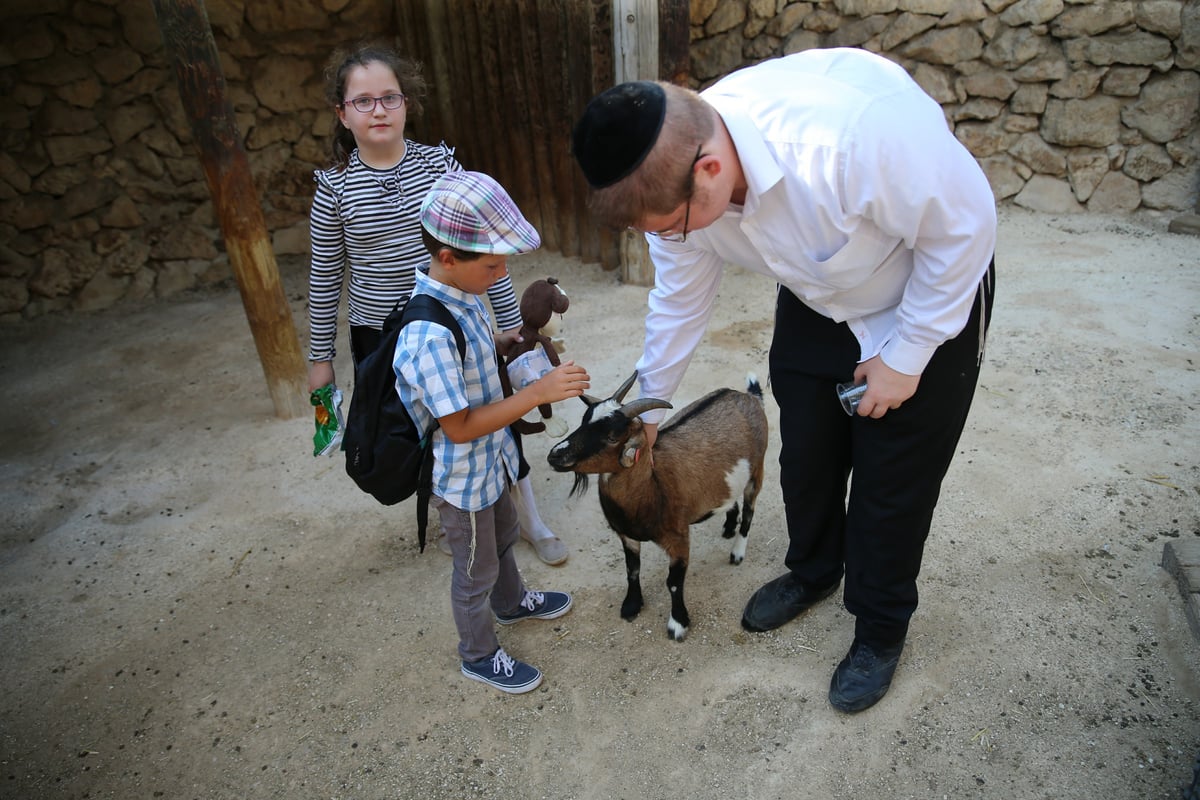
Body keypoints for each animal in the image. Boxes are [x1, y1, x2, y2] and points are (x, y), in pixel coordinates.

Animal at [547, 371, 763, 642]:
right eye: (584, 421)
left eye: (612, 436)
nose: (555, 455)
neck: (653, 485)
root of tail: (748, 396)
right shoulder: (626, 535)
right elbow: (632, 570)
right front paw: (631, 605)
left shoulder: (679, 539)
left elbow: (674, 582)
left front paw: (678, 623)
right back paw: (728, 527)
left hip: (756, 472)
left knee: (750, 512)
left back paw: (737, 552)